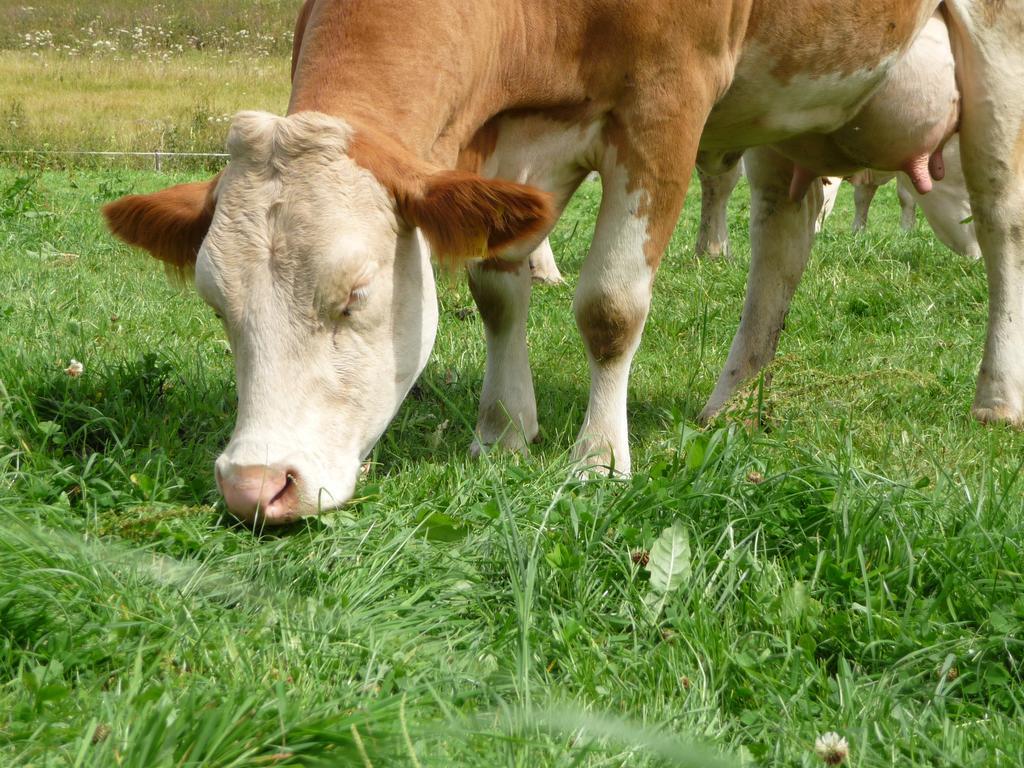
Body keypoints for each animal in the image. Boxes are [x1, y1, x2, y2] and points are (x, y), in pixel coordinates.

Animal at [101, 0, 1024, 524]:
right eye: (219, 306)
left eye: (354, 295)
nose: (254, 487)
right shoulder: (503, 135)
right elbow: (495, 290)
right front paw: (505, 432)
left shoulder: (665, 102)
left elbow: (610, 307)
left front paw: (598, 459)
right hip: (793, 96)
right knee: (781, 237)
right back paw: (728, 405)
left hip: (997, 51)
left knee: (1003, 220)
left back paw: (997, 399)